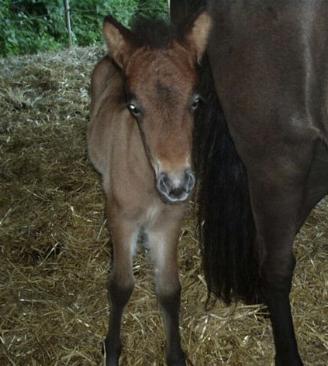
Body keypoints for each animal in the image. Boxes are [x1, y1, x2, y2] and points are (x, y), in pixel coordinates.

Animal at [87, 11, 211, 366]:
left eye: (196, 101)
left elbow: (169, 290)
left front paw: (176, 355)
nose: (177, 184)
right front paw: (111, 349)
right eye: (134, 107)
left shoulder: (168, 222)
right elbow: (120, 287)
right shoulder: (121, 217)